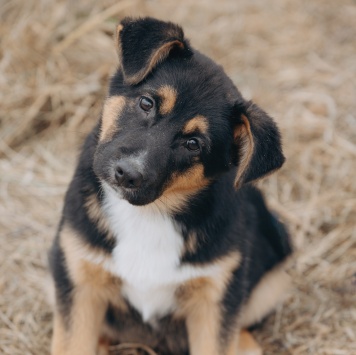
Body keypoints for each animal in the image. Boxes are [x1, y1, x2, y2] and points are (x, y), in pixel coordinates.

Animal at [49, 16, 292, 355]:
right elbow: (73, 343)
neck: (150, 213)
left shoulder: (214, 299)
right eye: (146, 102)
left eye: (193, 144)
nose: (127, 174)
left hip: (275, 277)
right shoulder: (79, 279)